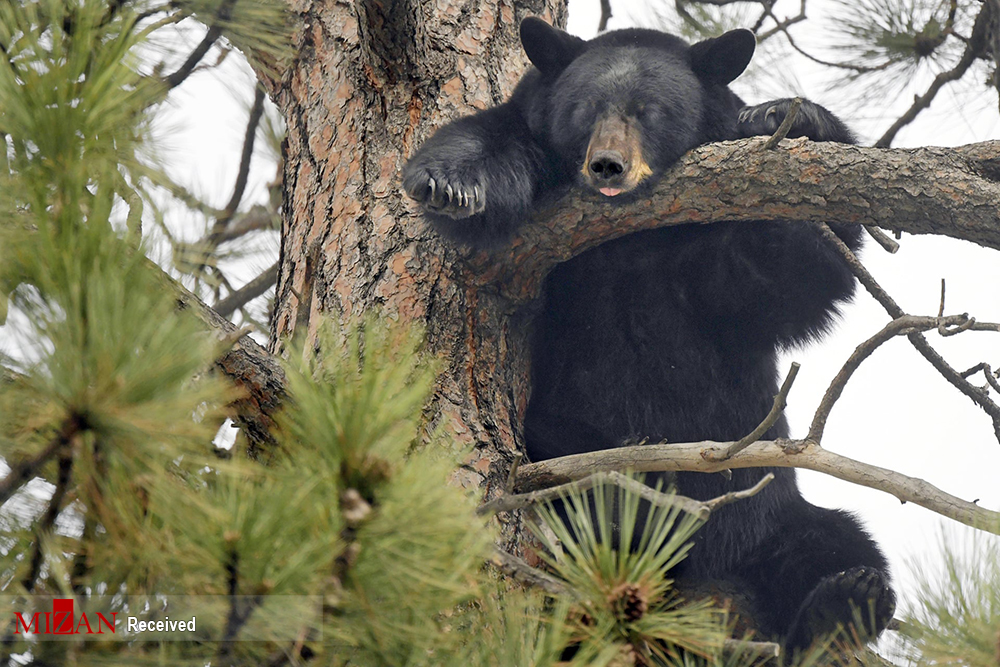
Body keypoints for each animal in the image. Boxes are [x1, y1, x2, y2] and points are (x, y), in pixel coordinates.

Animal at [402, 17, 896, 656]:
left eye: (651, 111)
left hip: (768, 513)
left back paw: (845, 597)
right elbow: (491, 143)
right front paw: (449, 182)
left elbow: (801, 271)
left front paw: (785, 117)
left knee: (834, 543)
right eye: (585, 108)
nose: (608, 166)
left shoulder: (708, 266)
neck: (632, 242)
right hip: (565, 450)